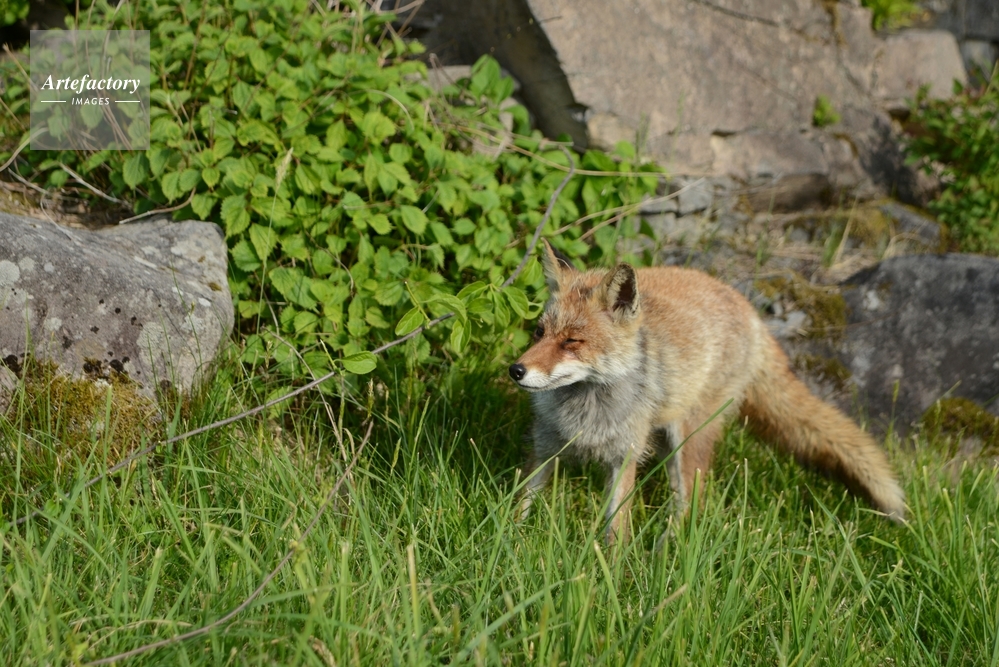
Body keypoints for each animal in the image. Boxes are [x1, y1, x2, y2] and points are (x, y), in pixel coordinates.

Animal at [508, 240, 906, 543]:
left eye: (572, 342)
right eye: (539, 333)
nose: (516, 370)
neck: (586, 409)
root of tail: (750, 311)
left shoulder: (625, 456)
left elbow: (616, 531)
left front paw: (611, 576)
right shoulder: (545, 445)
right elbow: (519, 504)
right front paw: (511, 544)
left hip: (690, 439)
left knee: (691, 504)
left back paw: (667, 553)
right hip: (668, 441)